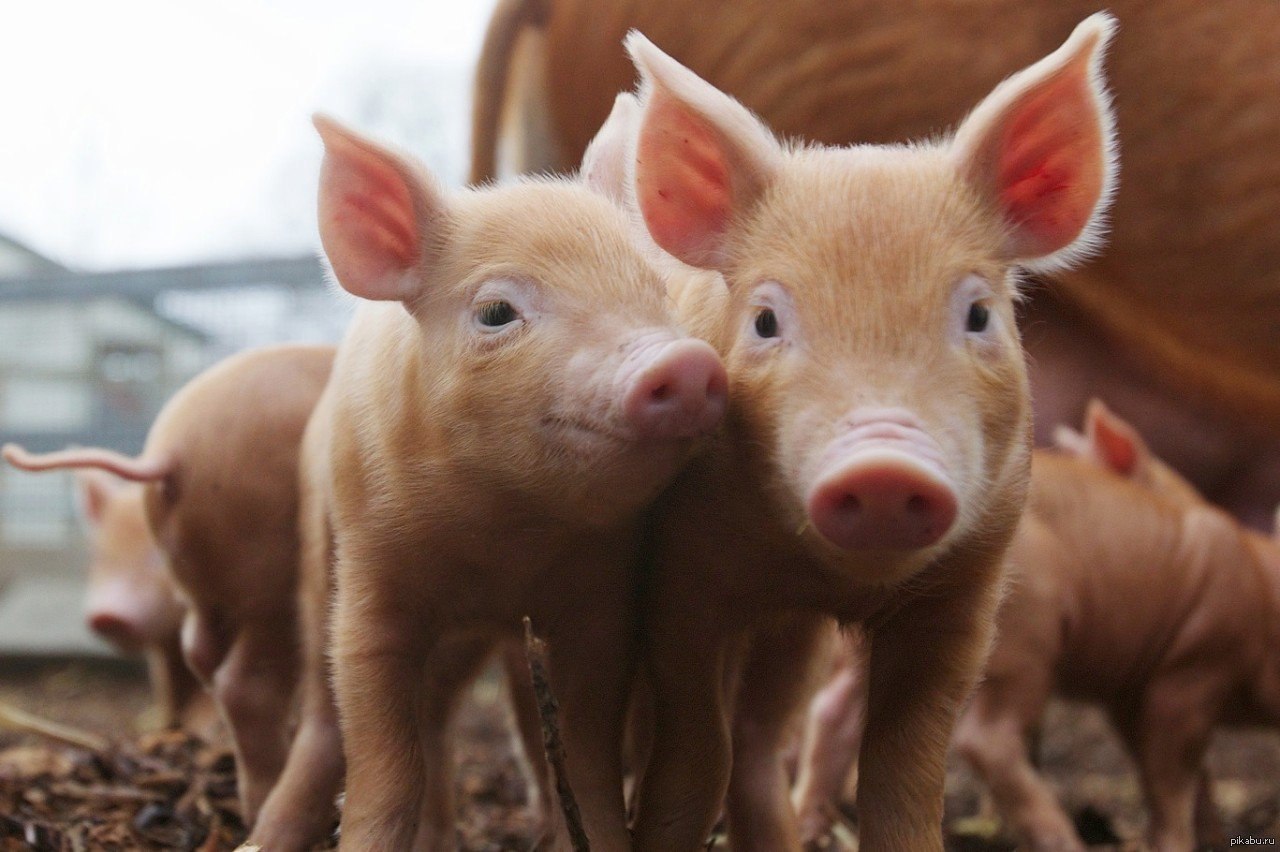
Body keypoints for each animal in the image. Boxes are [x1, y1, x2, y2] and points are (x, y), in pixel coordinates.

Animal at [3, 342, 335, 823]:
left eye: (151, 559)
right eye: (101, 556)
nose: (106, 615)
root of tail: (172, 452)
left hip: (212, 587)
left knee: (201, 653)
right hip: (272, 577)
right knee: (243, 684)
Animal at [264, 114, 727, 849]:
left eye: (656, 294)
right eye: (497, 312)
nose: (681, 362)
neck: (502, 541)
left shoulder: (601, 606)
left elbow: (585, 754)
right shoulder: (372, 579)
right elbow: (383, 756)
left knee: (445, 718)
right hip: (317, 553)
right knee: (326, 712)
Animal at [624, 14, 1116, 849]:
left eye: (979, 314)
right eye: (765, 322)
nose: (884, 468)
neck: (831, 582)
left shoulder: (964, 596)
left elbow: (905, 771)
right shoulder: (683, 580)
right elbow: (692, 754)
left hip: (792, 640)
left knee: (760, 741)